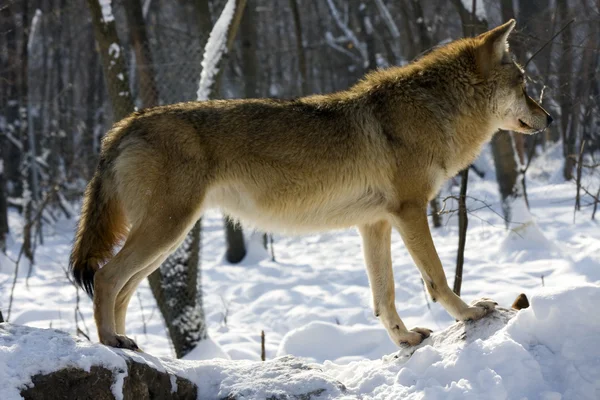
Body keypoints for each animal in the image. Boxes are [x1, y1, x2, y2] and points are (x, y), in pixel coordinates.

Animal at [70, 19, 552, 350]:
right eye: (525, 84)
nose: (550, 118)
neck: (436, 111)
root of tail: (121, 128)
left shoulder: (375, 223)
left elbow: (384, 296)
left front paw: (405, 341)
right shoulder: (410, 211)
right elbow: (436, 278)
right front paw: (469, 313)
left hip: (168, 240)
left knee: (121, 290)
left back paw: (131, 349)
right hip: (167, 231)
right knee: (108, 277)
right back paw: (111, 344)